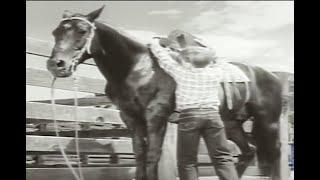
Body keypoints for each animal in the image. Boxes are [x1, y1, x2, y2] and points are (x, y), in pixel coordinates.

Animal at [47, 5, 282, 180]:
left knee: (275, 154)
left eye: (82, 31)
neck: (138, 68)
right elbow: (139, 155)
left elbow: (152, 155)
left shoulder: (156, 116)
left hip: (268, 123)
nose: (56, 64)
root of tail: (272, 76)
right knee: (248, 152)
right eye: (55, 32)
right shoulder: (131, 118)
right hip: (231, 124)